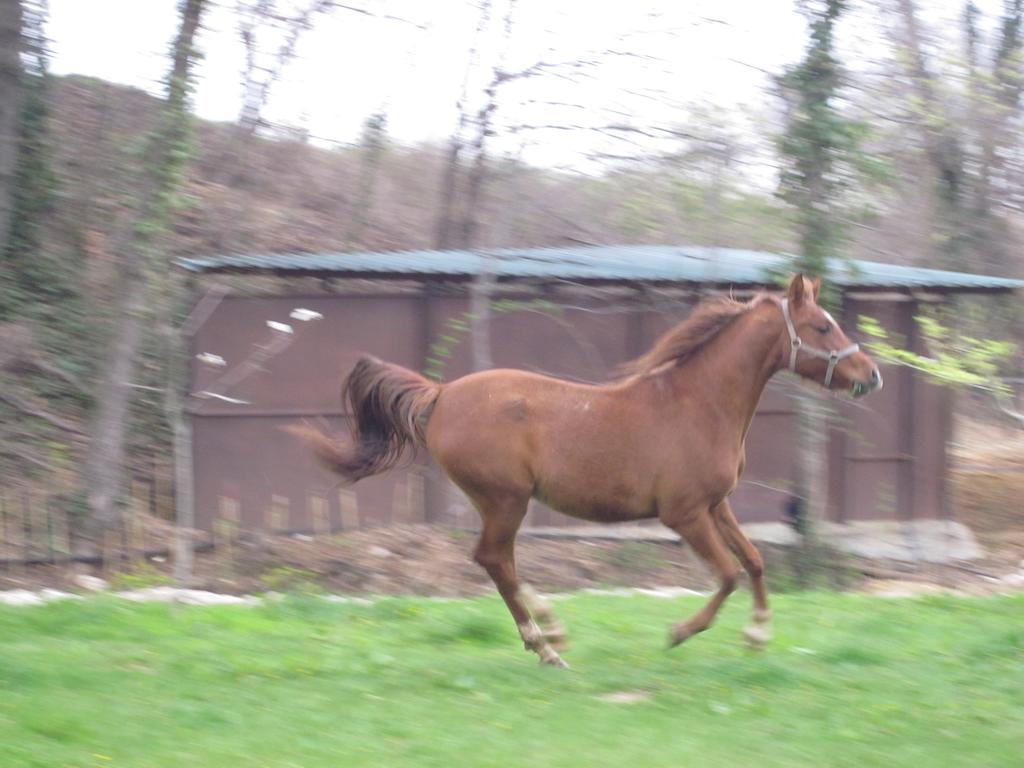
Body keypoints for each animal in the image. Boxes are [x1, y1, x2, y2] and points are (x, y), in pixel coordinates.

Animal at [294, 274, 880, 667]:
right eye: (821, 326)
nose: (870, 375)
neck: (698, 403)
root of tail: (441, 395)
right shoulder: (684, 514)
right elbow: (729, 574)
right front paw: (679, 632)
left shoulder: (718, 504)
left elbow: (755, 562)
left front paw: (758, 635)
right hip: (506, 499)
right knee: (495, 561)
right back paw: (548, 642)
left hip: (503, 503)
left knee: (498, 563)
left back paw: (548, 639)